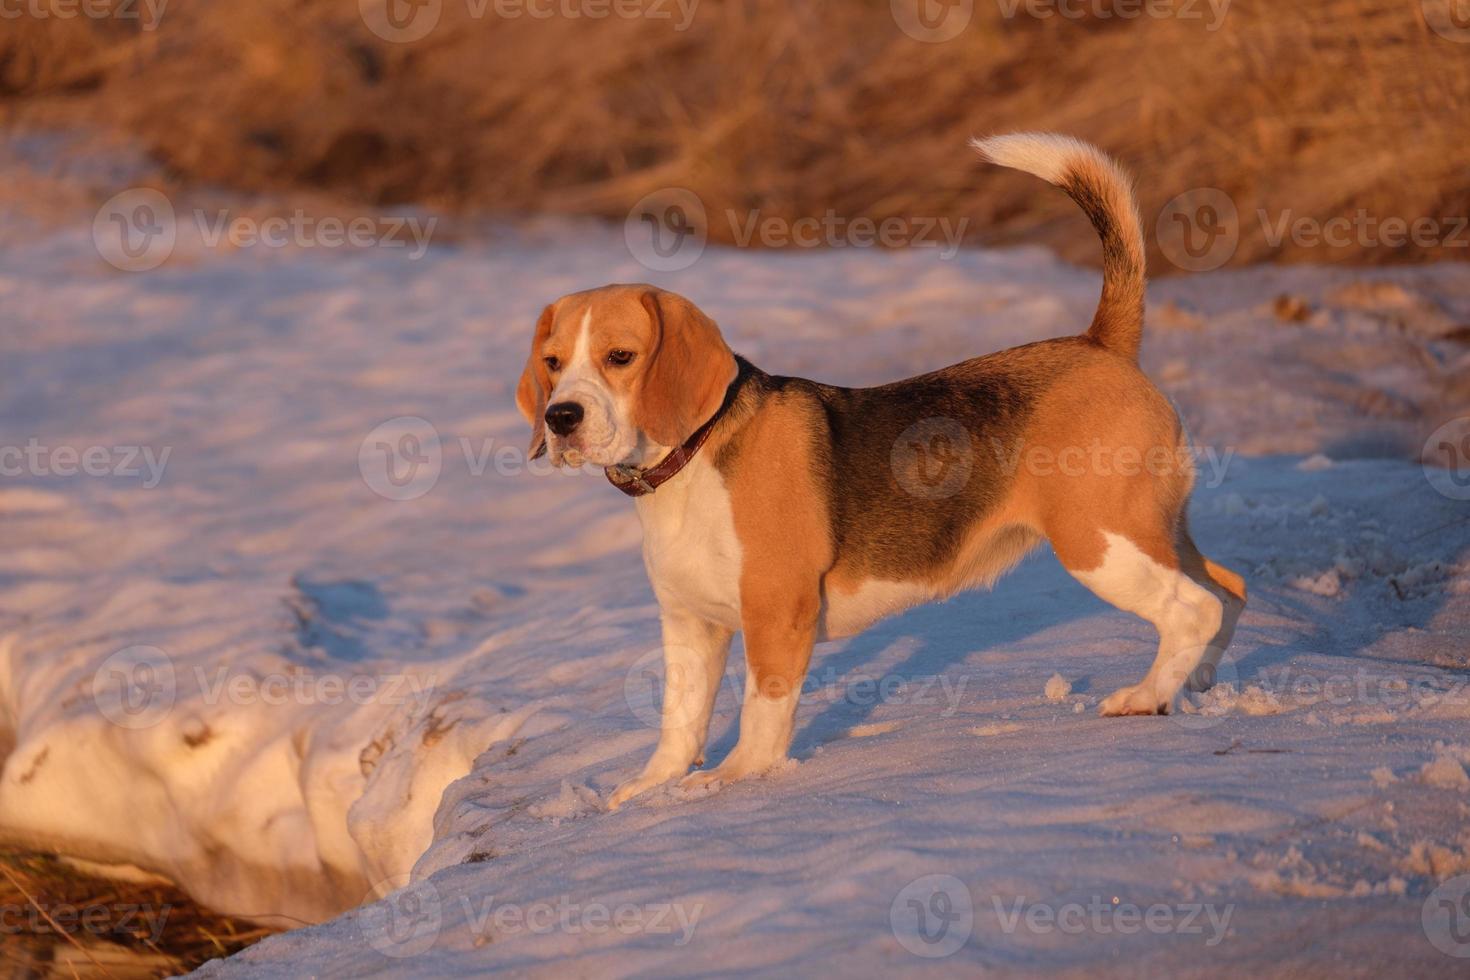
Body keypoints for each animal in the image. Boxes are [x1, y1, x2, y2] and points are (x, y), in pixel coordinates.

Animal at [511, 132, 1246, 811]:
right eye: (552, 362)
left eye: (620, 356)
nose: (561, 417)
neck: (692, 459)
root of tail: (1100, 344)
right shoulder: (690, 623)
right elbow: (679, 721)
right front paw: (653, 787)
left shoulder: (777, 611)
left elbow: (761, 714)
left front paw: (737, 778)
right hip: (1153, 531)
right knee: (1229, 590)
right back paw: (1198, 685)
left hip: (1100, 543)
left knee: (1197, 607)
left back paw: (1146, 696)